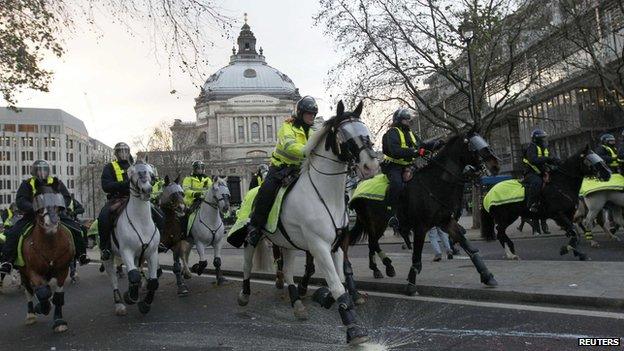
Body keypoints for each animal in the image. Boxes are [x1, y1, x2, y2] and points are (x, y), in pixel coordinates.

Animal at [18, 187, 73, 332]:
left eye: (57, 202)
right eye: (39, 202)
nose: (52, 223)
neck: (50, 245)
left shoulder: (62, 270)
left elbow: (57, 297)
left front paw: (59, 321)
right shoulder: (33, 271)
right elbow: (42, 293)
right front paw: (41, 308)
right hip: (23, 273)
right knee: (30, 291)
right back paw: (31, 314)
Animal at [238, 102, 376, 346]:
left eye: (365, 130)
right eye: (345, 135)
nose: (371, 166)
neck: (325, 195)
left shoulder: (336, 245)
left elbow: (341, 279)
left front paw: (329, 299)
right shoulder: (318, 245)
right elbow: (337, 284)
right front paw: (353, 330)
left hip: (287, 243)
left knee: (288, 271)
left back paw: (297, 303)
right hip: (253, 238)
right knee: (247, 264)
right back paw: (244, 295)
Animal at [296, 129, 502, 300]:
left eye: (484, 141)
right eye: (474, 144)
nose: (495, 165)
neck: (434, 182)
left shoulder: (445, 221)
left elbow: (468, 246)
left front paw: (487, 276)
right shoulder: (421, 227)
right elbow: (417, 258)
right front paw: (411, 285)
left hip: (377, 223)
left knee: (372, 243)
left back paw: (380, 269)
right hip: (375, 221)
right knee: (373, 242)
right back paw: (385, 266)